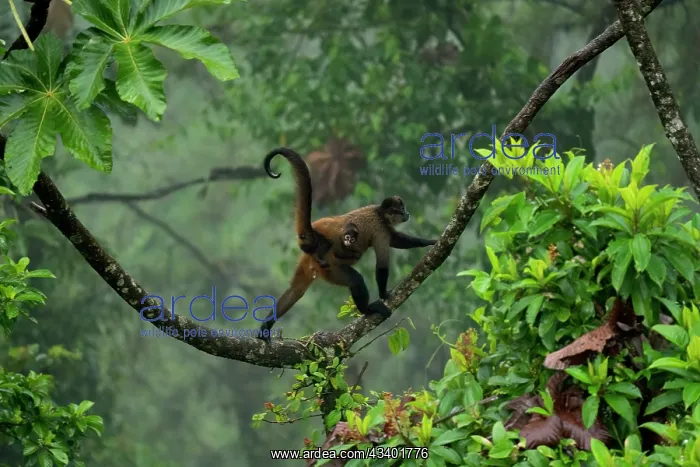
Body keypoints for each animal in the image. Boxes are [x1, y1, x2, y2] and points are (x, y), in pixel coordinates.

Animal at [258, 147, 438, 341]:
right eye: (402, 210)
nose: (407, 214)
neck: (379, 212)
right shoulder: (380, 229)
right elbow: (382, 264)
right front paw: (383, 294)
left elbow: (397, 240)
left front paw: (431, 242)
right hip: (331, 266)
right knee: (356, 280)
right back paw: (367, 310)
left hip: (310, 263)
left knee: (295, 291)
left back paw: (265, 327)